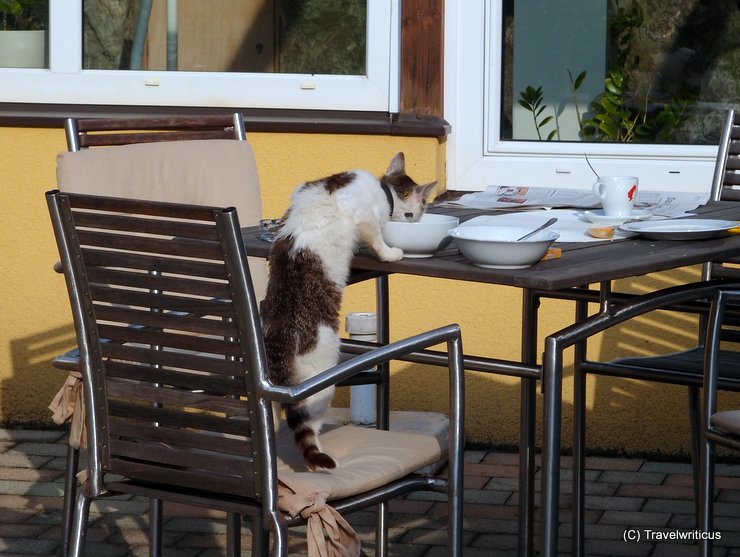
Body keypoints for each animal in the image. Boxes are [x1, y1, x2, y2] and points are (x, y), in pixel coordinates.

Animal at [260, 152, 436, 470]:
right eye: (423, 205)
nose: (422, 215)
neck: (383, 189)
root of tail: (279, 340)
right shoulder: (365, 217)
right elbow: (377, 240)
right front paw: (392, 253)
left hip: (275, 394)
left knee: (276, 420)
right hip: (320, 384)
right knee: (306, 428)